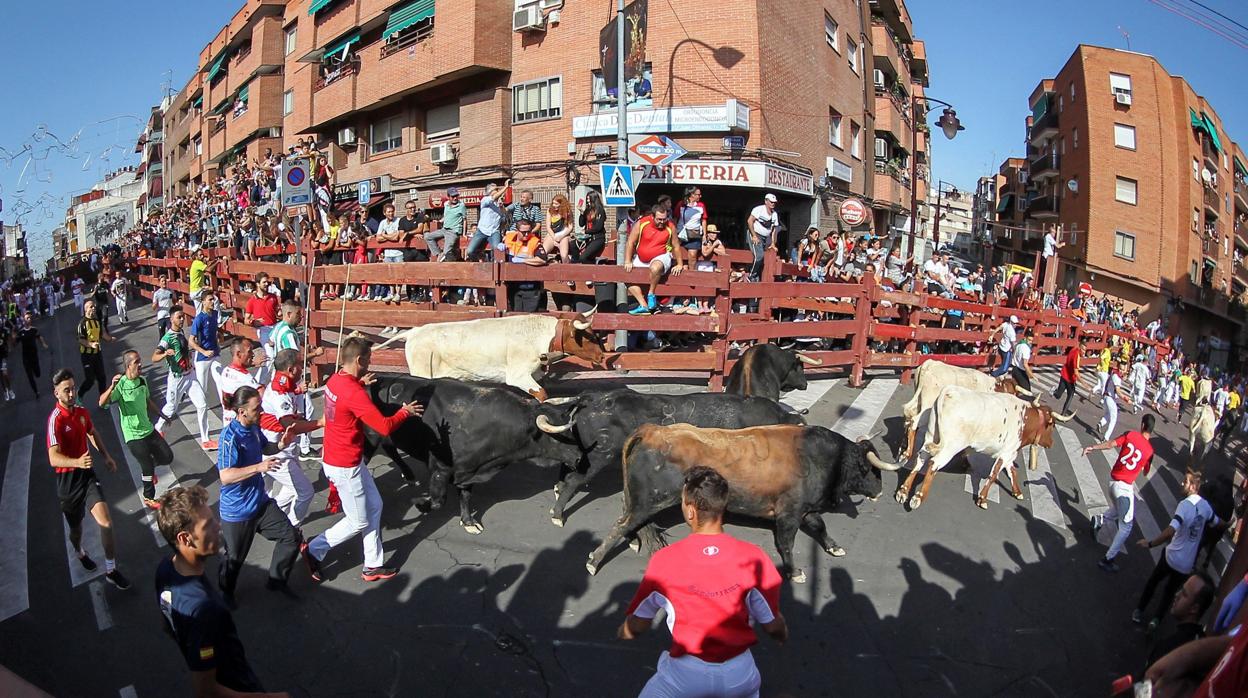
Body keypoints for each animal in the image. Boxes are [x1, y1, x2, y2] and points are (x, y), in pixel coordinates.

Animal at [359, 377, 576, 534]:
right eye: (560, 436)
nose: (578, 458)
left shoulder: (468, 469)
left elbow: (465, 496)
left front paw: (469, 522)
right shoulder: (441, 469)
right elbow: (438, 500)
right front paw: (422, 505)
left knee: (390, 448)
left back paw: (410, 476)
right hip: (370, 437)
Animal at [371, 309, 606, 402]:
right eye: (589, 337)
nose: (603, 357)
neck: (539, 335)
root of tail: (414, 331)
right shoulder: (518, 375)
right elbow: (542, 395)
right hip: (421, 373)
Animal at [584, 427, 898, 584]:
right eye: (869, 470)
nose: (880, 490)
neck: (819, 457)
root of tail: (653, 431)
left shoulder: (805, 509)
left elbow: (820, 526)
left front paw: (834, 547)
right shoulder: (789, 513)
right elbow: (786, 543)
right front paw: (794, 571)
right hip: (651, 500)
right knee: (622, 523)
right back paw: (594, 561)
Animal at [893, 384, 1068, 511]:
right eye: (1052, 425)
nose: (1051, 443)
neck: (1024, 418)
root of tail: (949, 392)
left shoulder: (1009, 453)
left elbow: (1012, 471)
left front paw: (1017, 492)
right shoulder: (1006, 454)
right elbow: (994, 475)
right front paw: (982, 499)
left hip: (931, 435)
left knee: (920, 459)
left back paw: (903, 491)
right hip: (950, 446)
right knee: (933, 464)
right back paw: (919, 497)